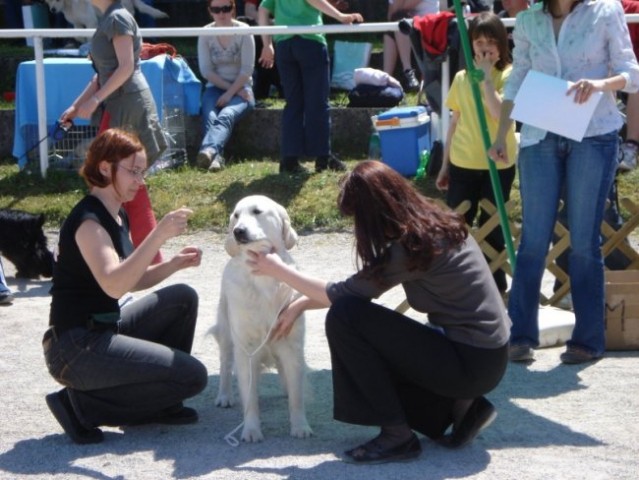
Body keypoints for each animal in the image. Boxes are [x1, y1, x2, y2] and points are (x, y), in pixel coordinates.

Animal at [215, 195, 312, 442]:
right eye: (236, 215)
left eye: (257, 211)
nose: (238, 231)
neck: (264, 278)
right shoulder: (246, 349)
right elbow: (250, 398)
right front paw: (251, 430)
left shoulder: (292, 344)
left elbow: (297, 395)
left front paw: (300, 426)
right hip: (226, 334)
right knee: (224, 365)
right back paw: (224, 396)